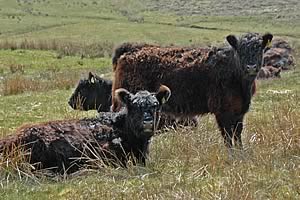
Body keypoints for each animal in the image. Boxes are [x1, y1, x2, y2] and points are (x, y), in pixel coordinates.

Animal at [112, 32, 272, 150]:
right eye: (241, 50)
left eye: (259, 49)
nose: (251, 67)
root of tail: (133, 49)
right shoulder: (222, 110)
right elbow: (227, 136)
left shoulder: (239, 111)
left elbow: (237, 135)